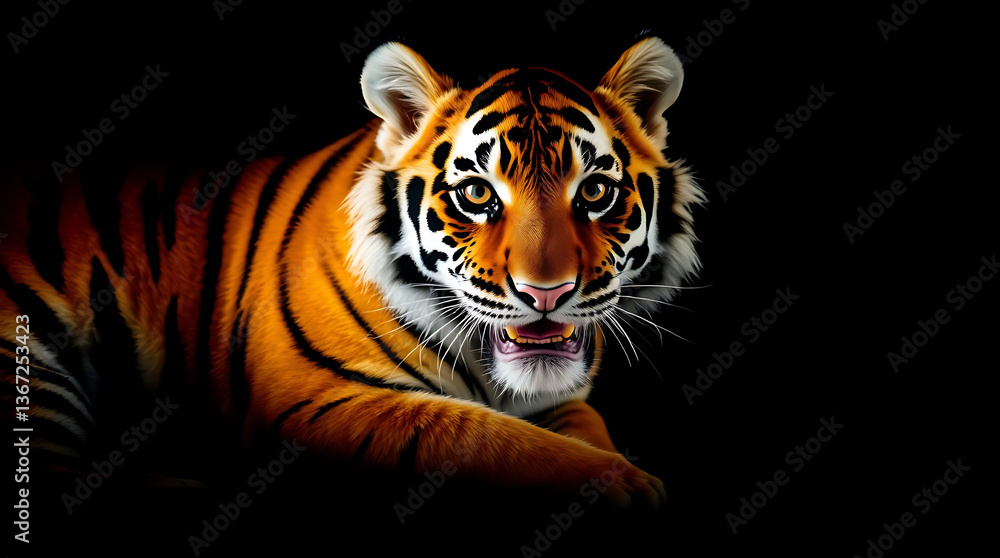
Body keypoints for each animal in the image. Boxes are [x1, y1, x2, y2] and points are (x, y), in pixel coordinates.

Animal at [1, 36, 701, 509]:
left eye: (595, 192)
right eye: (477, 195)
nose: (546, 293)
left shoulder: (559, 398)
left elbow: (585, 428)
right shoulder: (312, 401)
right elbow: (491, 438)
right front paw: (627, 487)